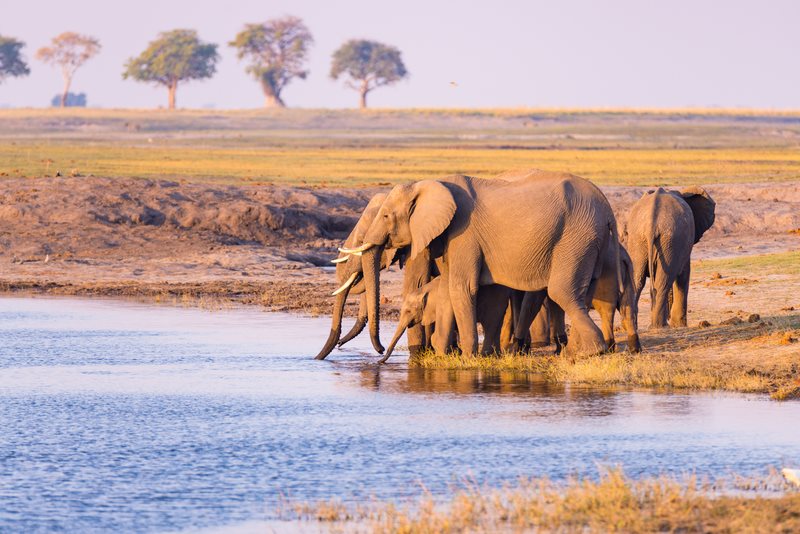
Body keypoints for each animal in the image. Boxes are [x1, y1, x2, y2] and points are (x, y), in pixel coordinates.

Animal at [337, 170, 623, 357]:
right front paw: (454, 354)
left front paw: (465, 357)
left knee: (561, 291)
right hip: (586, 241)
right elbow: (452, 287)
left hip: (576, 235)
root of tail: (608, 209)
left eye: (386, 216)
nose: (380, 351)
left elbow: (461, 287)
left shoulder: (462, 233)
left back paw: (587, 353)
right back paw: (577, 350)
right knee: (581, 292)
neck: (430, 184)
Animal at [625, 186, 715, 329]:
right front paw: (679, 325)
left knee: (637, 280)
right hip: (670, 239)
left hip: (639, 240)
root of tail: (652, 223)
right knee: (663, 282)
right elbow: (683, 275)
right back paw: (661, 326)